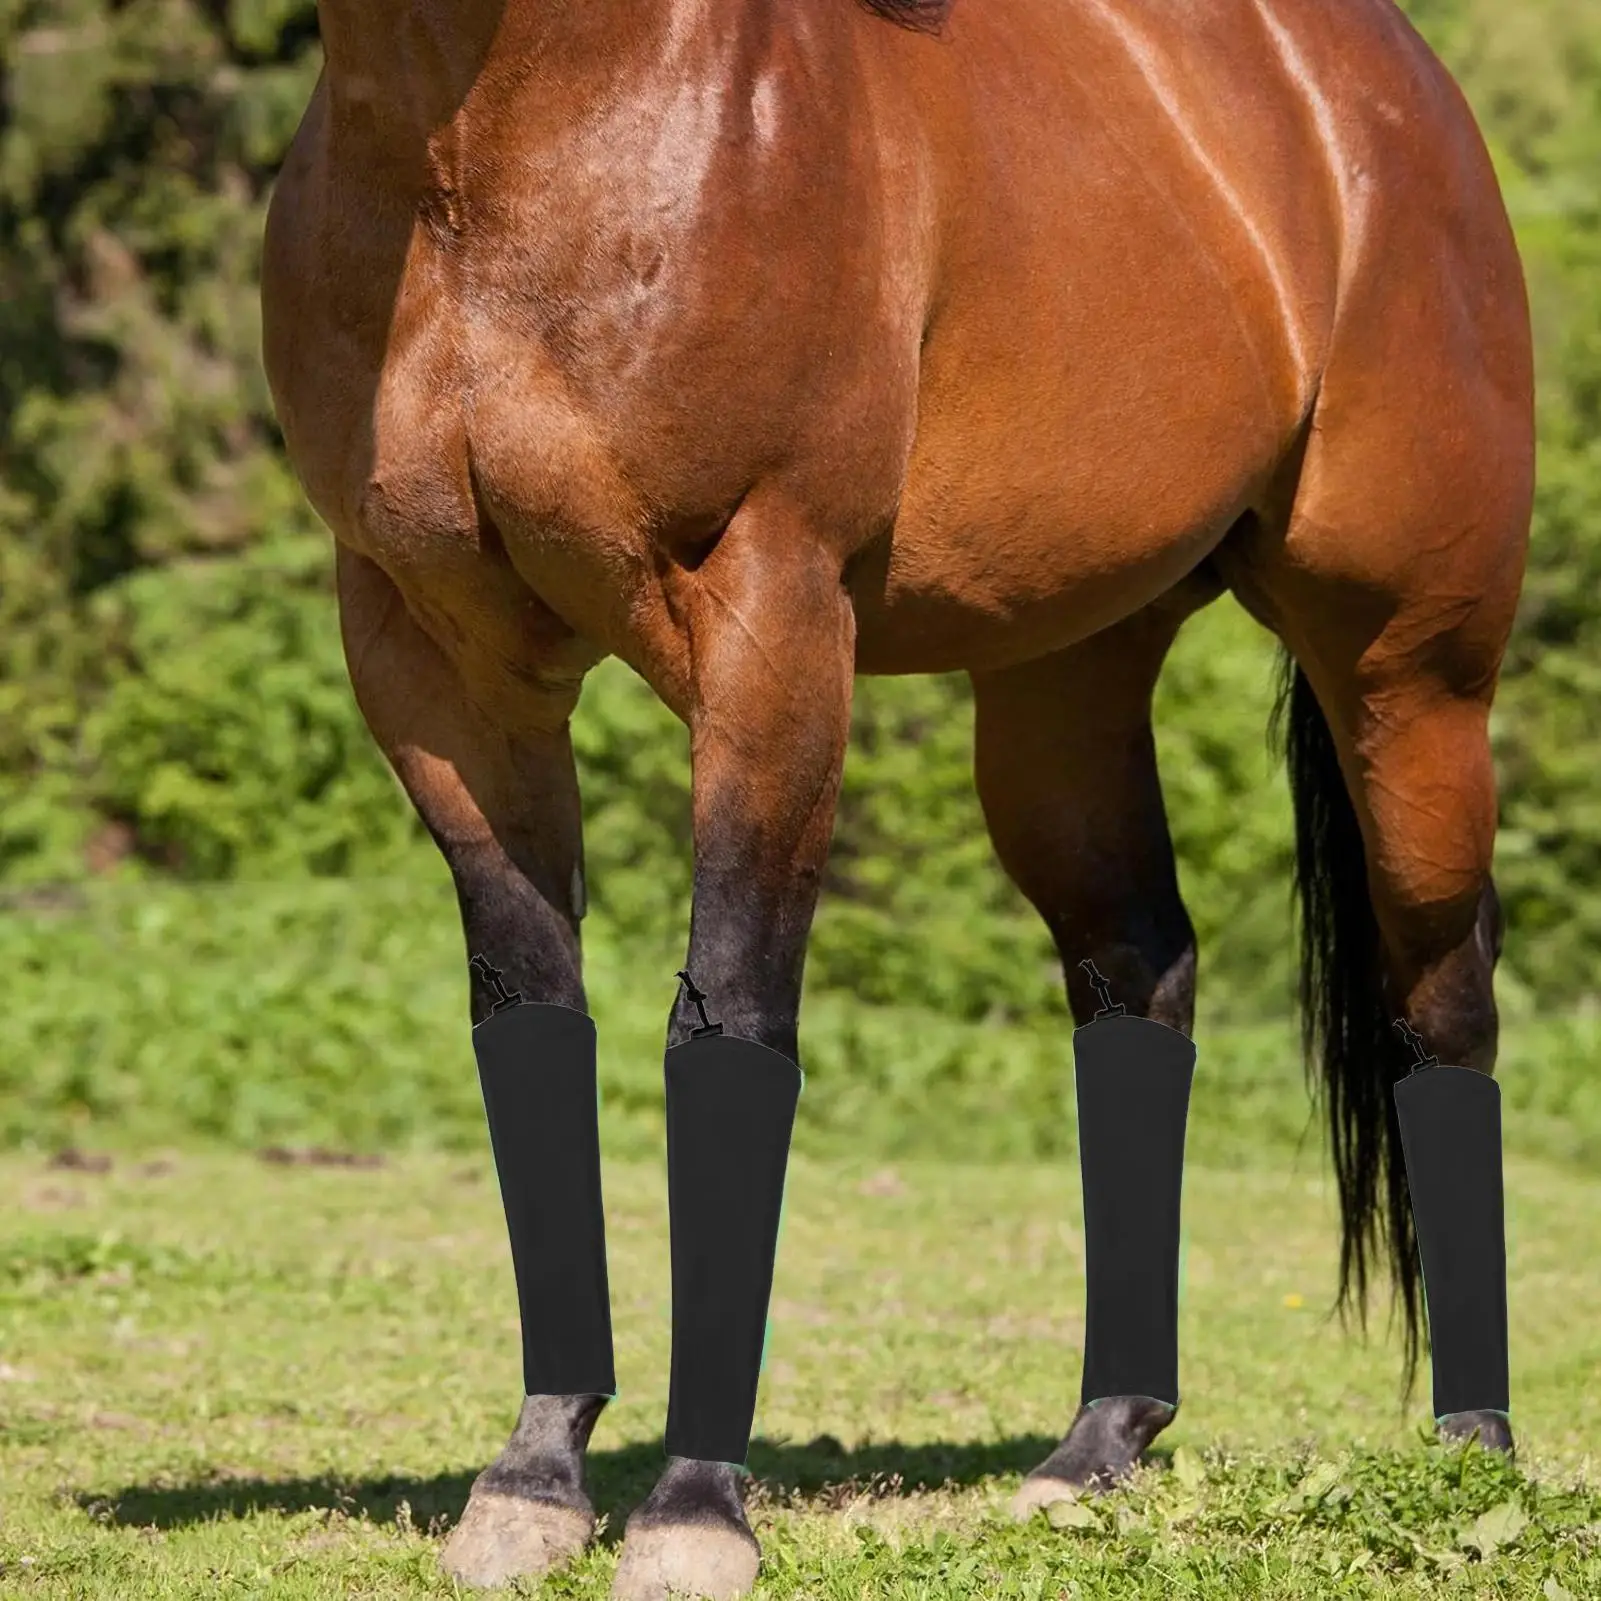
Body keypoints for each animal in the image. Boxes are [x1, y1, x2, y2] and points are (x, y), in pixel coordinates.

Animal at [260, 0, 1532, 1594]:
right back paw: (1096, 1448)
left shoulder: (771, 618)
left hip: (1408, 676)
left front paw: (692, 1511)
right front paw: (533, 1483)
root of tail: (1393, 91)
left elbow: (730, 1021)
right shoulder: (433, 659)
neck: (489, 152)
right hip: (1062, 686)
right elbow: (529, 1020)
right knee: (1139, 974)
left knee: (1444, 1002)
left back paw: (1472, 1455)